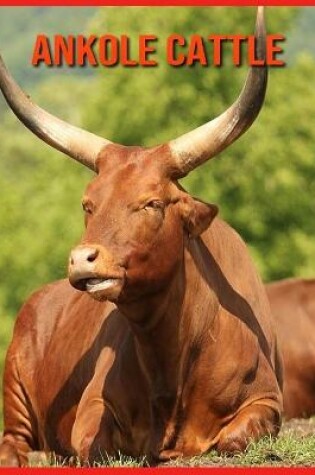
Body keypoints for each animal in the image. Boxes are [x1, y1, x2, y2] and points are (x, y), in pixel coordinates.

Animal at [0, 8, 282, 468]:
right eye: (88, 203)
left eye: (151, 203)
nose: (82, 259)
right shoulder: (92, 410)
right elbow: (97, 447)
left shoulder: (268, 403)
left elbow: (234, 438)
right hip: (15, 388)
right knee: (13, 443)